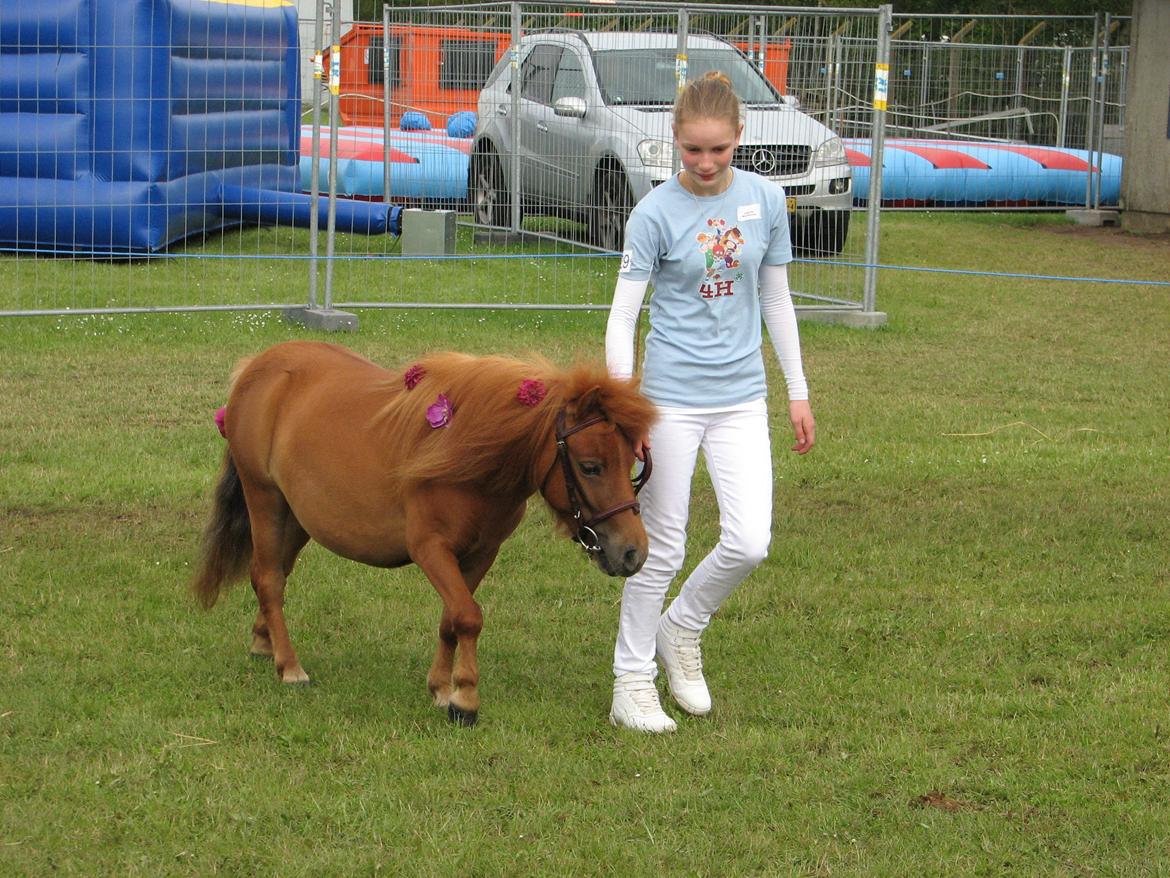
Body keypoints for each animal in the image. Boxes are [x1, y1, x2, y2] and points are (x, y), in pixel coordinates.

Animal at [196, 339, 664, 725]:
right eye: (590, 466)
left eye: (632, 461)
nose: (633, 552)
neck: (469, 459)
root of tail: (258, 366)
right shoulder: (430, 549)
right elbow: (469, 617)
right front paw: (465, 700)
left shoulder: (480, 554)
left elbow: (451, 619)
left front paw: (442, 688)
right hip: (265, 500)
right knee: (269, 579)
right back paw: (290, 666)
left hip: (296, 517)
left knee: (272, 572)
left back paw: (264, 643)